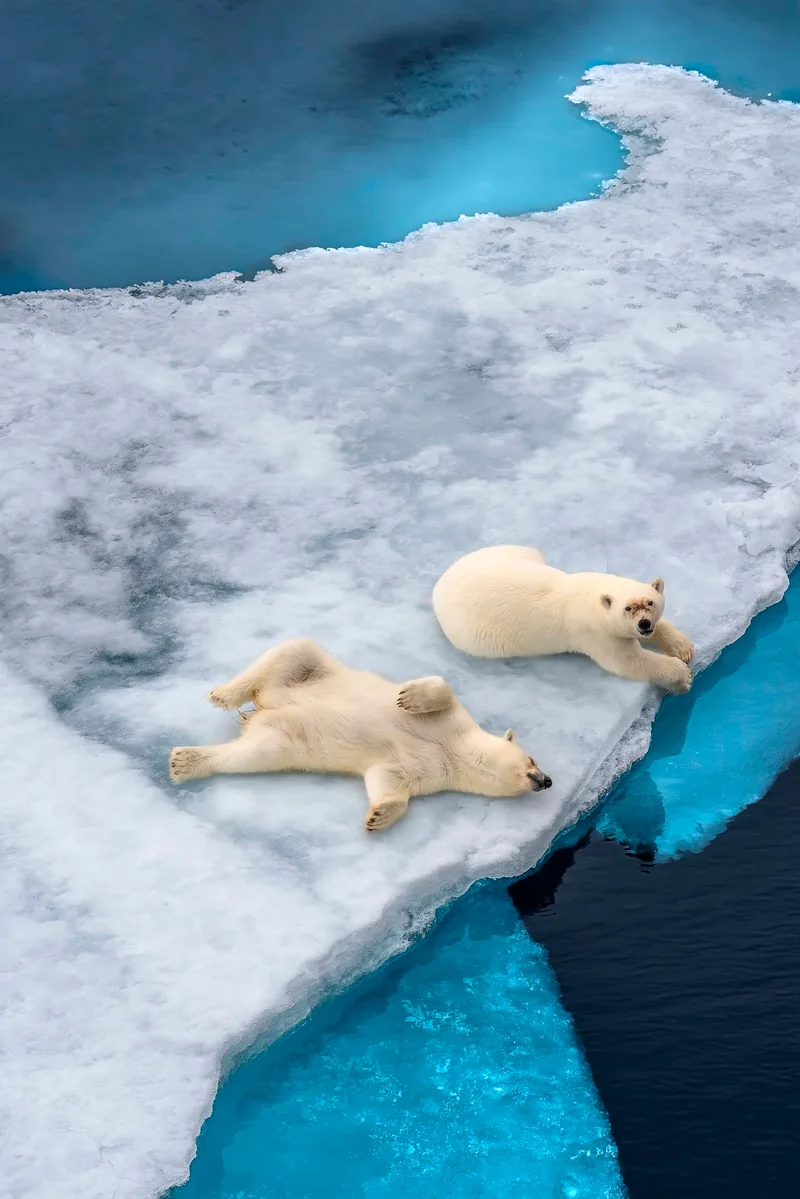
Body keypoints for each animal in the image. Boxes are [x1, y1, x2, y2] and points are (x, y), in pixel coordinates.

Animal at [169, 637, 552, 832]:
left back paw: (185, 761)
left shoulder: (429, 771)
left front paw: (377, 816)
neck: (451, 749)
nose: (546, 780)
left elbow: (386, 780)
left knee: (252, 755)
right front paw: (409, 698)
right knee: (297, 649)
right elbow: (442, 689)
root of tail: (264, 710)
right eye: (533, 758)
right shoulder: (454, 720)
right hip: (315, 675)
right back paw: (223, 695)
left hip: (283, 739)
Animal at [432, 545, 694, 694]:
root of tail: (440, 585)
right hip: (470, 633)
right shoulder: (595, 633)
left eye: (649, 603)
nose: (644, 624)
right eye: (627, 608)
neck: (595, 593)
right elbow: (628, 661)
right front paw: (682, 676)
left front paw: (682, 647)